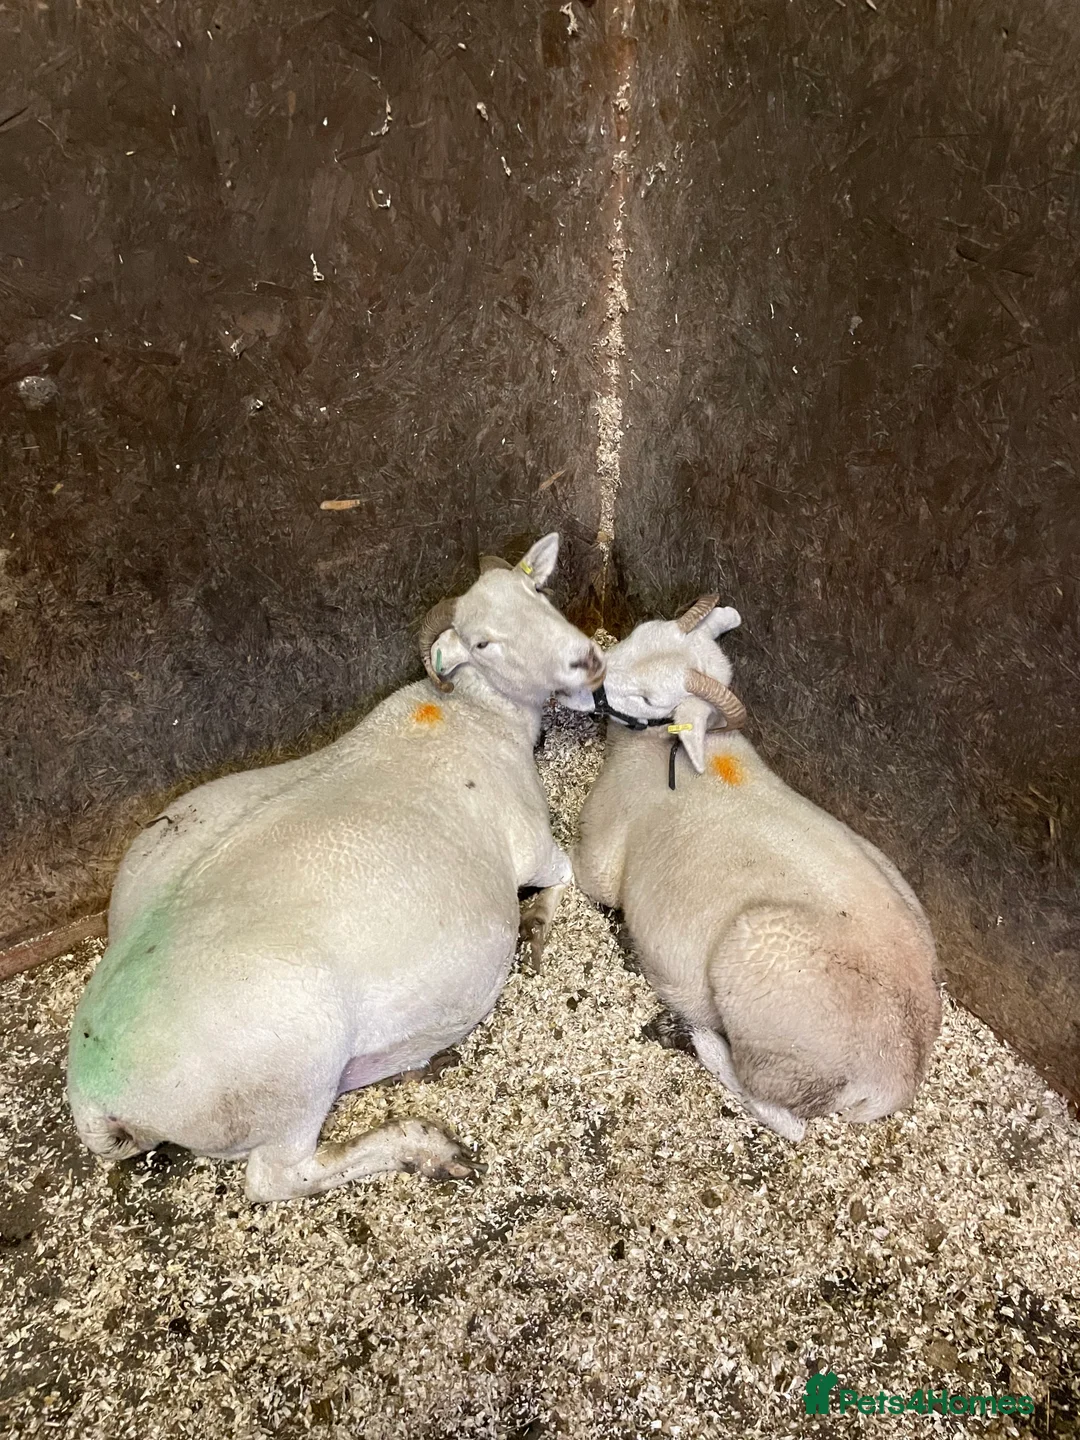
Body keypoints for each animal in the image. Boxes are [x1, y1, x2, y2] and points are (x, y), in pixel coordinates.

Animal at [67, 534, 605, 1201]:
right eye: (483, 642)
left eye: (537, 593)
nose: (588, 659)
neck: (473, 713)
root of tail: (93, 1097)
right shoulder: (532, 842)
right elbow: (566, 873)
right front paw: (537, 926)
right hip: (293, 1075)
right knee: (277, 1176)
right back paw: (421, 1147)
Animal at [575, 597, 941, 1141]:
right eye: (637, 634)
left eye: (648, 697)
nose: (589, 672)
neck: (672, 750)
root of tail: (897, 1072)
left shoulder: (600, 854)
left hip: (772, 1028)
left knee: (783, 1117)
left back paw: (698, 1037)